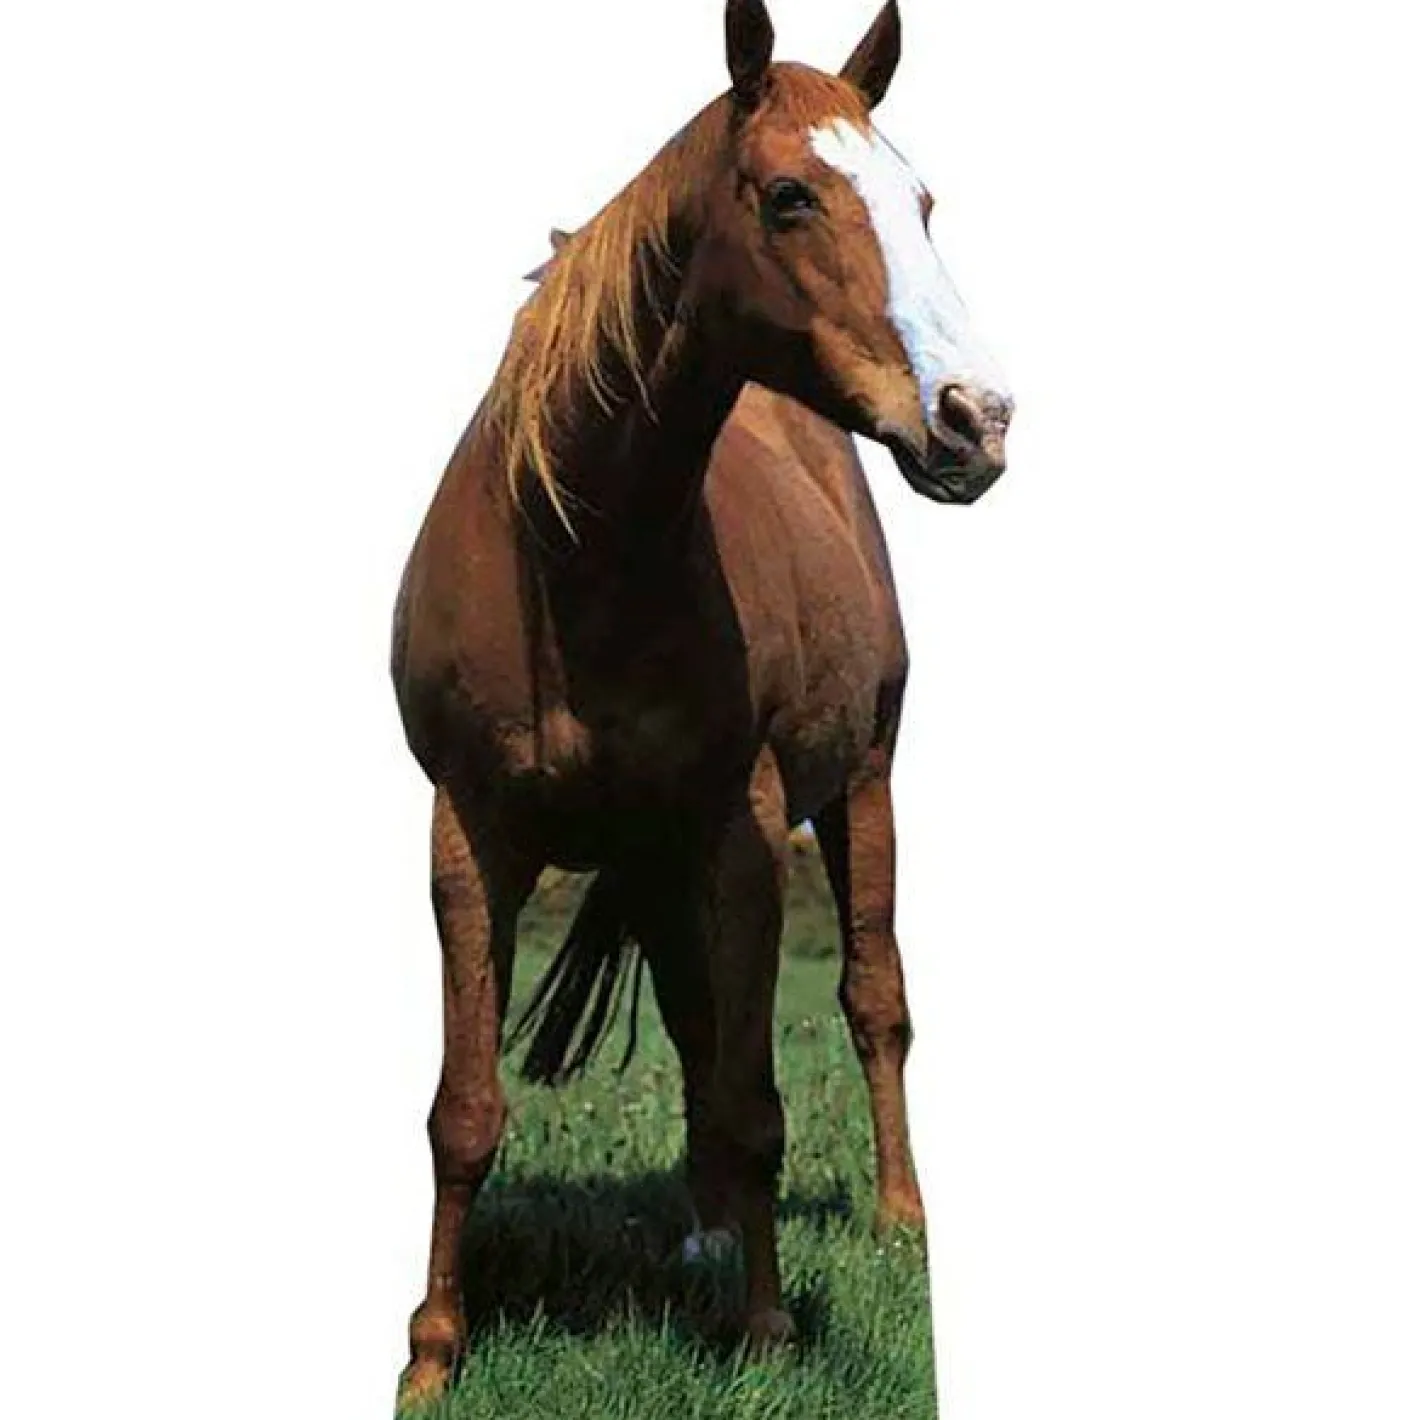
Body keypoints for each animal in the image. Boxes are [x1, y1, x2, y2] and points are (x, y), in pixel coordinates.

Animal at [389, 0, 1013, 1404]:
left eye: (922, 200)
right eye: (789, 196)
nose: (977, 418)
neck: (573, 553)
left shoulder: (744, 828)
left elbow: (757, 1097)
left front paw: (767, 1330)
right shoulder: (469, 836)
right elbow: (465, 1109)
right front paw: (432, 1355)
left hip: (862, 784)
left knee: (873, 1004)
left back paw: (892, 1221)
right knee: (689, 1017)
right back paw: (705, 1234)